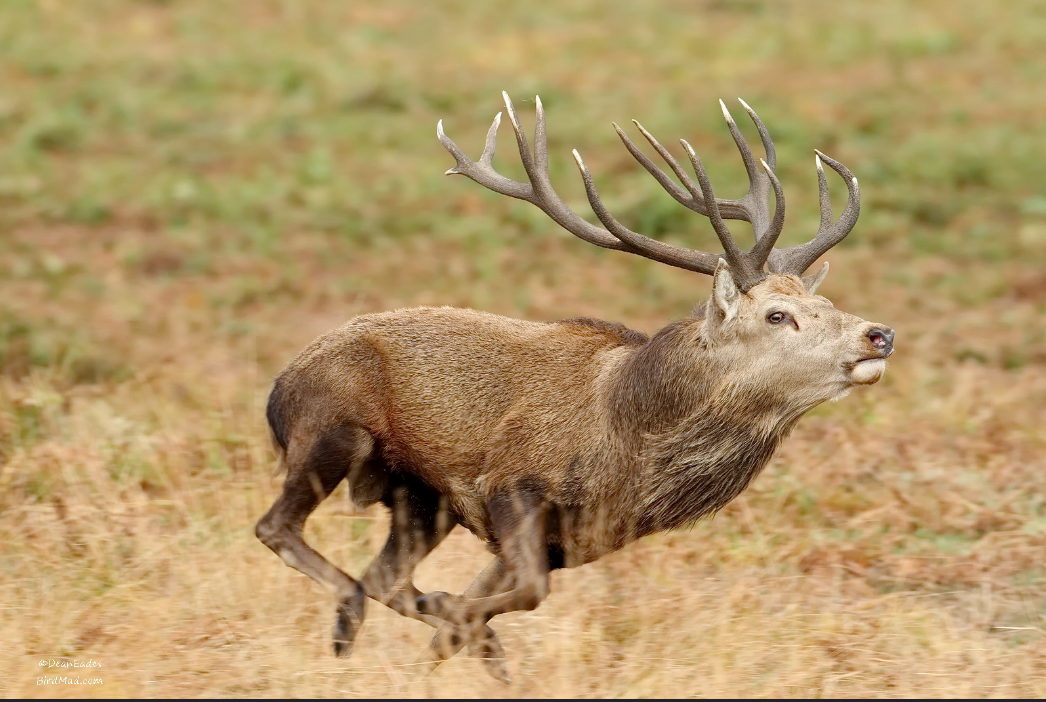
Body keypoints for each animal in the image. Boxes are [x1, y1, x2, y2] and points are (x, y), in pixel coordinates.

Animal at [255, 91, 895, 683]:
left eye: (825, 304)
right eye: (777, 315)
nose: (879, 333)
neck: (627, 452)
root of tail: (276, 392)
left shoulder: (569, 540)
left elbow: (489, 606)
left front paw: (463, 640)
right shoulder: (511, 482)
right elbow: (526, 592)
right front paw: (459, 619)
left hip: (420, 497)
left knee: (383, 574)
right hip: (334, 426)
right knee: (281, 529)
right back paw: (352, 614)